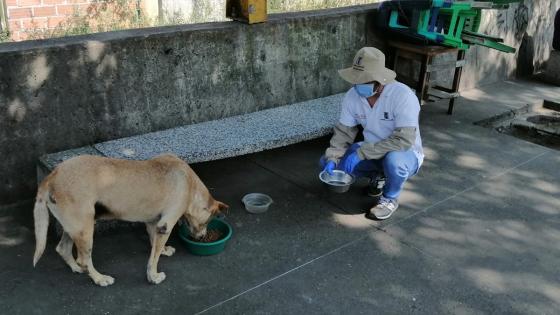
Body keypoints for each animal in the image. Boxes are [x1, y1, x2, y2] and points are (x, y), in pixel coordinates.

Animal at [32, 154, 228, 288]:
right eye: (206, 222)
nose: (202, 237)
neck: (190, 184)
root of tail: (51, 176)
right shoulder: (165, 225)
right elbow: (153, 259)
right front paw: (153, 277)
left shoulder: (154, 224)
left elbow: (154, 246)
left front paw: (163, 250)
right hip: (85, 229)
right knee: (84, 259)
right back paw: (99, 278)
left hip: (74, 227)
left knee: (63, 249)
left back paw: (77, 269)